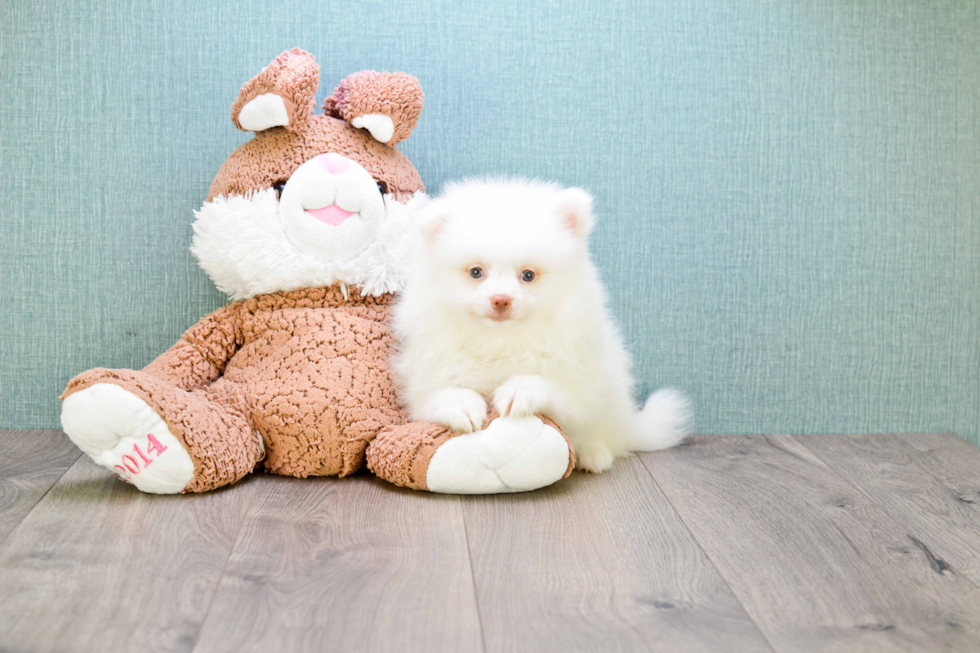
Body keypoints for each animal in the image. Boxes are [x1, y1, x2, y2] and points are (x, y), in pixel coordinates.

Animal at [390, 178, 688, 472]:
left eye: (528, 275)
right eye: (476, 272)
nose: (501, 299)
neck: (500, 341)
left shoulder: (576, 382)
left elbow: (550, 385)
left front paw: (519, 390)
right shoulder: (425, 381)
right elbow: (440, 393)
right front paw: (462, 405)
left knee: (603, 434)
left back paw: (594, 455)